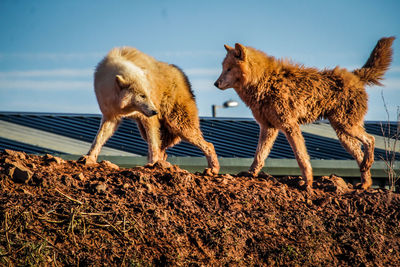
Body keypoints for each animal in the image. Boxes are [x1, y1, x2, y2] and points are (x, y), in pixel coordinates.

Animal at [82, 46, 219, 175]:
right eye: (142, 96)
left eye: (148, 94)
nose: (155, 112)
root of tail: (181, 73)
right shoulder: (111, 116)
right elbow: (98, 139)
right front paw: (89, 158)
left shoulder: (148, 119)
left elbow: (153, 145)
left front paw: (152, 164)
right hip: (145, 130)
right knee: (163, 150)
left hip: (178, 125)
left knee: (209, 145)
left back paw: (213, 169)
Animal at [214, 36, 396, 191]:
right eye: (223, 68)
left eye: (229, 69)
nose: (215, 83)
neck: (262, 82)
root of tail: (354, 75)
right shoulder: (268, 127)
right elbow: (259, 155)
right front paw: (251, 174)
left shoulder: (290, 126)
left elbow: (301, 158)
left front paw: (308, 182)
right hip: (344, 135)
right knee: (360, 154)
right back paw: (365, 183)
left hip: (346, 127)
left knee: (370, 140)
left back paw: (367, 169)